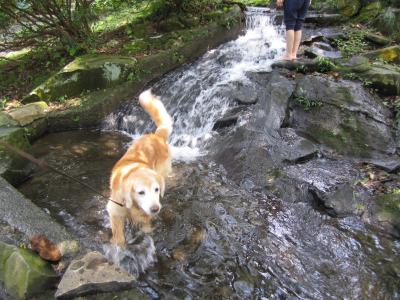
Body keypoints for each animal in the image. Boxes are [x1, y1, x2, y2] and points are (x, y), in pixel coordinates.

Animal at [107, 90, 173, 247]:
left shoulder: (145, 216)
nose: (156, 208)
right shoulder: (114, 210)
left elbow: (146, 229)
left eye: (156, 190)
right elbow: (119, 237)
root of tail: (156, 135)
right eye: (141, 192)